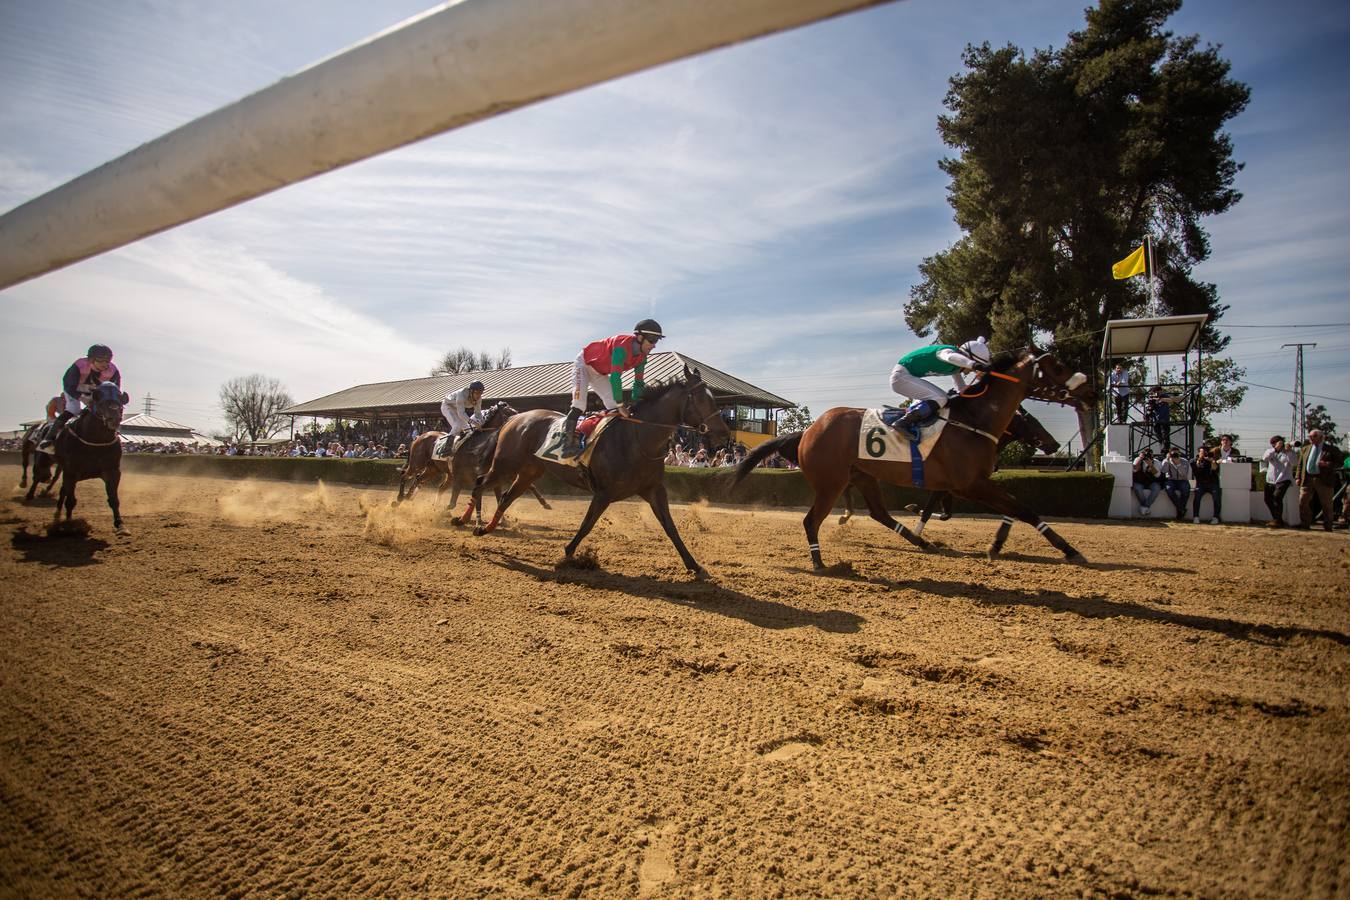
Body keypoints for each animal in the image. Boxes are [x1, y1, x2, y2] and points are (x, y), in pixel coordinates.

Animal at [52, 383, 128, 534]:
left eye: (120, 398)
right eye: (98, 397)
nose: (113, 417)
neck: (95, 441)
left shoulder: (112, 471)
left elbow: (113, 499)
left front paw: (120, 525)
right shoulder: (71, 471)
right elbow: (70, 500)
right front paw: (70, 525)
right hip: (64, 468)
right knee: (63, 491)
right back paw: (58, 515)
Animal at [396, 402, 550, 512]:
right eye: (509, 413)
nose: (522, 422)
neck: (477, 447)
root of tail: (419, 437)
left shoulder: (498, 474)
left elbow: (528, 486)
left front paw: (545, 503)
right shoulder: (462, 475)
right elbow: (454, 502)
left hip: (433, 469)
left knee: (421, 480)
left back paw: (408, 497)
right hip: (418, 463)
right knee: (405, 475)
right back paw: (399, 498)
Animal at [469, 369, 734, 580]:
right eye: (701, 399)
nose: (724, 433)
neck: (638, 439)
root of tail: (515, 418)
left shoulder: (653, 489)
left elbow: (670, 527)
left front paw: (694, 565)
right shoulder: (604, 492)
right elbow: (587, 524)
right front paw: (568, 554)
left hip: (529, 472)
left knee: (505, 498)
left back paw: (485, 528)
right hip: (505, 464)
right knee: (480, 484)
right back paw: (470, 521)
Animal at [734, 348, 1090, 566]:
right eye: (1058, 367)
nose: (1088, 389)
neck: (974, 421)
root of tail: (808, 430)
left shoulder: (967, 483)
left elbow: (1015, 509)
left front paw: (997, 544)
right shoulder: (969, 484)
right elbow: (1023, 508)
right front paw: (1071, 550)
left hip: (862, 475)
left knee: (879, 513)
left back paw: (921, 543)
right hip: (831, 482)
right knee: (812, 520)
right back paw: (820, 561)